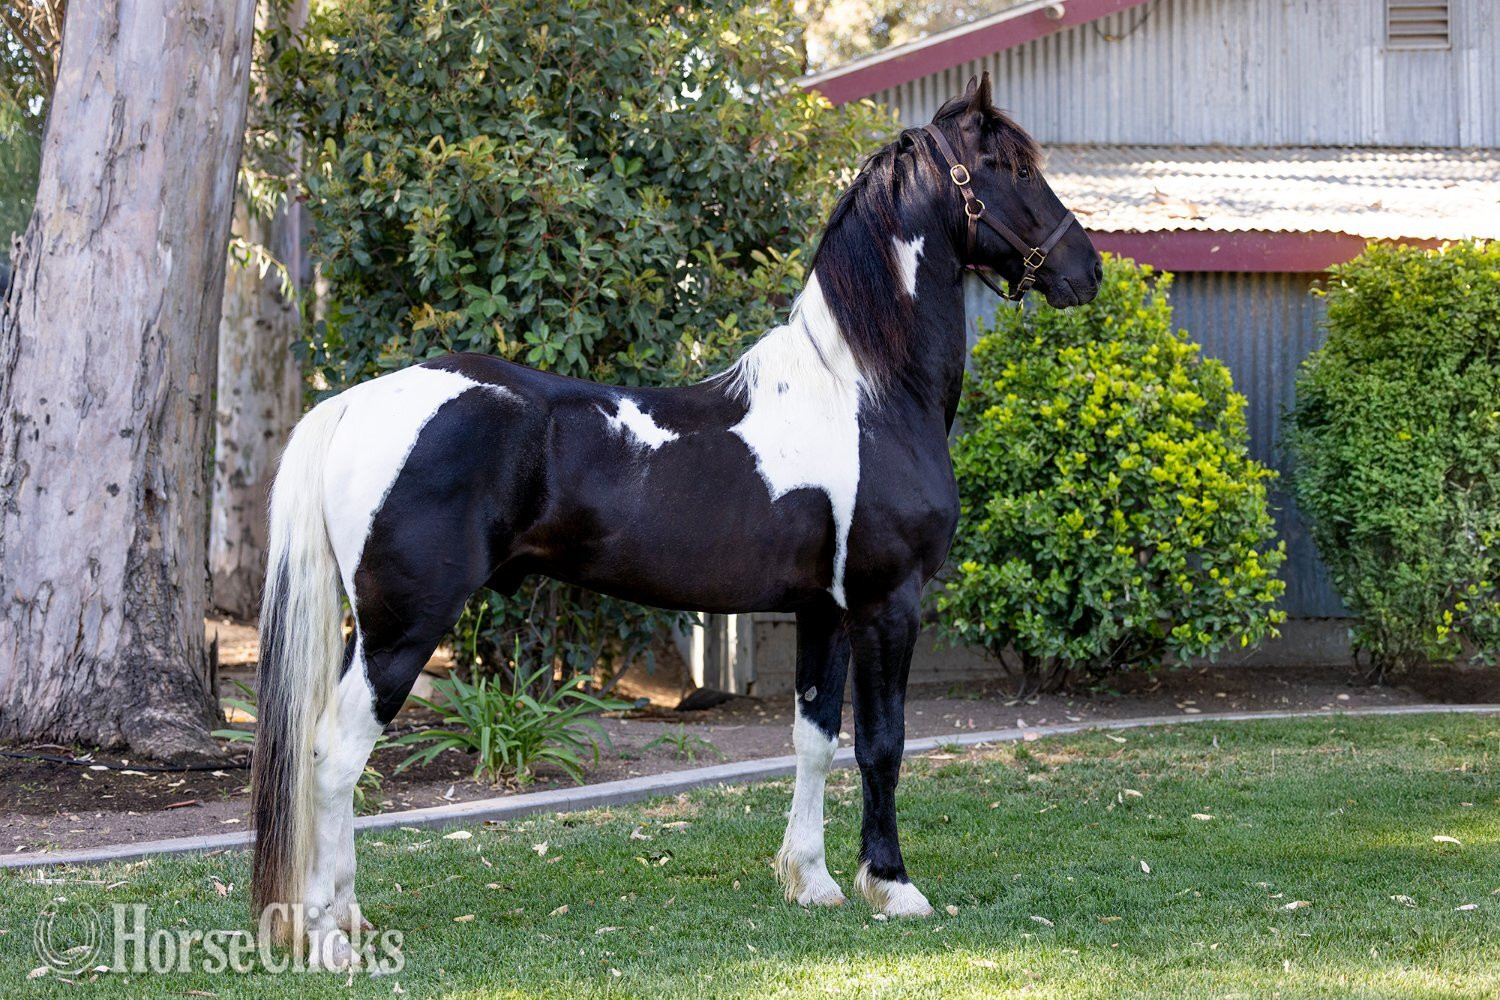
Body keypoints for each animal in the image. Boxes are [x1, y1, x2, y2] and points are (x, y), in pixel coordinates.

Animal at [250, 73, 1101, 967]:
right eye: (1012, 166)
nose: (1088, 269)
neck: (867, 394)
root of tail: (356, 403)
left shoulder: (823, 611)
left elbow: (814, 739)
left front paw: (814, 882)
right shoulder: (887, 602)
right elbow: (882, 743)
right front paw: (894, 886)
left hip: (372, 629)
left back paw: (347, 920)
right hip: (402, 630)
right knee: (335, 757)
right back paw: (329, 938)